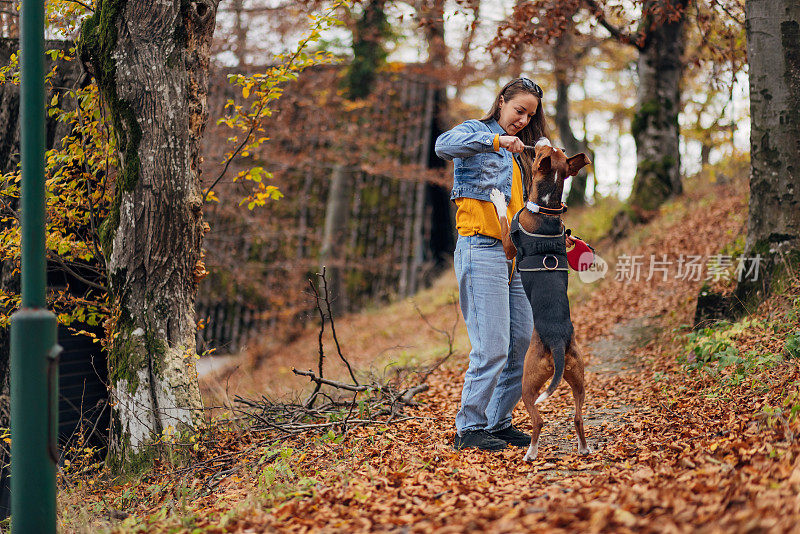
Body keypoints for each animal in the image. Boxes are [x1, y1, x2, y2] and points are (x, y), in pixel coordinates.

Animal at [488, 139, 592, 464]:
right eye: (558, 150)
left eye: (544, 152)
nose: (542, 140)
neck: (546, 209)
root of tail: (557, 343)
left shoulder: (509, 244)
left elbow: (503, 218)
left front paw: (498, 197)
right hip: (578, 376)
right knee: (578, 417)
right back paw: (583, 448)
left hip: (529, 382)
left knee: (539, 419)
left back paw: (531, 453)